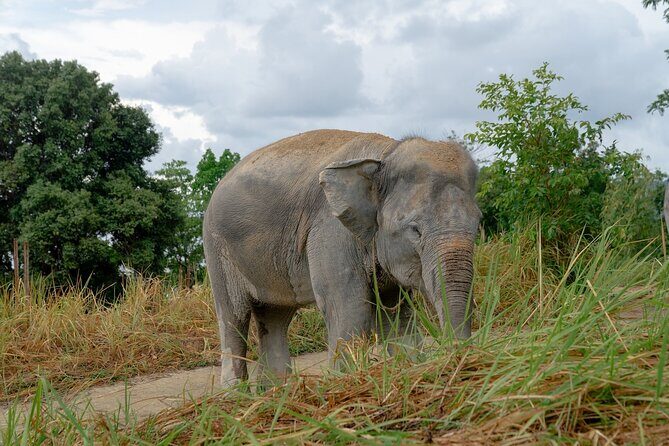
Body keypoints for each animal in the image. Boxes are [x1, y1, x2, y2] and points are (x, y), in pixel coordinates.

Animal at [203, 129, 481, 384]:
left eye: (478, 224)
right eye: (415, 230)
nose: (457, 355)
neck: (385, 154)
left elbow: (398, 315)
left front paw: (410, 367)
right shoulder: (330, 230)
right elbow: (350, 310)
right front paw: (345, 382)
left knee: (275, 317)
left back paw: (277, 393)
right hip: (217, 249)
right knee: (233, 319)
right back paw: (236, 394)